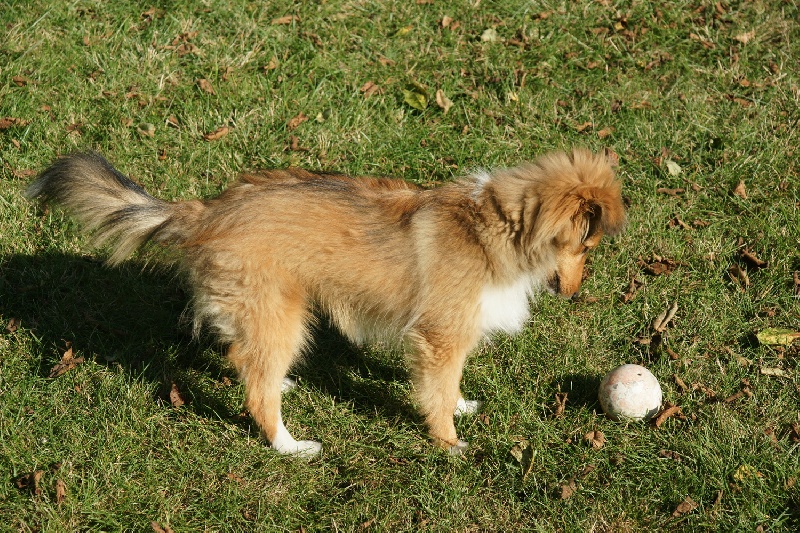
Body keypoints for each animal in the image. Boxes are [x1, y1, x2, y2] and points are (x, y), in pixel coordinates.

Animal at [26, 149, 624, 458]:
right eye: (587, 245)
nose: (574, 293)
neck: (497, 226)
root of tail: (206, 212)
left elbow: (447, 387)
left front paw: (460, 409)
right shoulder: (440, 337)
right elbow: (437, 389)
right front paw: (448, 442)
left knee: (246, 360)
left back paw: (284, 382)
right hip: (282, 314)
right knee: (257, 391)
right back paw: (289, 445)